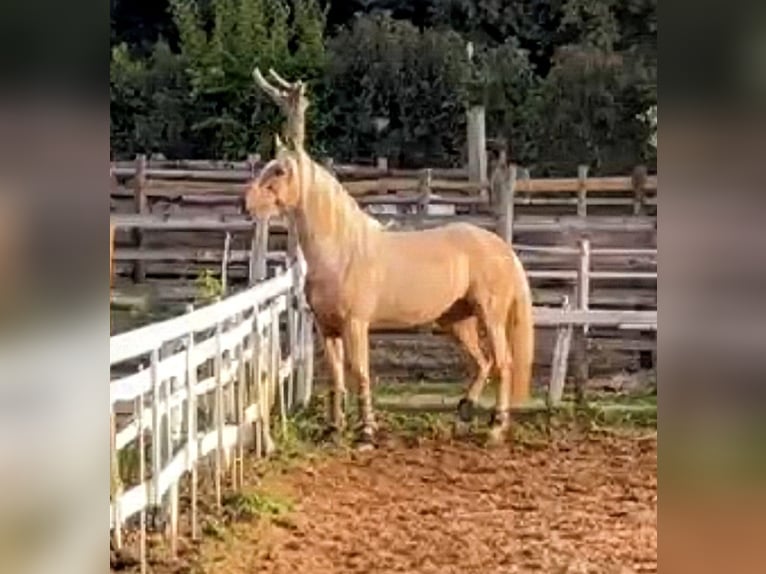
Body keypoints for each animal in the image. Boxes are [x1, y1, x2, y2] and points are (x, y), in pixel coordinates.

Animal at [244, 147, 535, 446]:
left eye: (280, 171)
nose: (247, 204)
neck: (343, 251)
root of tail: (502, 248)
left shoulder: (355, 325)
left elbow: (360, 373)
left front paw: (366, 434)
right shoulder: (327, 329)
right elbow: (336, 377)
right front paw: (333, 430)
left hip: (491, 318)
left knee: (503, 364)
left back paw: (495, 429)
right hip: (456, 321)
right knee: (483, 363)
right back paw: (463, 415)